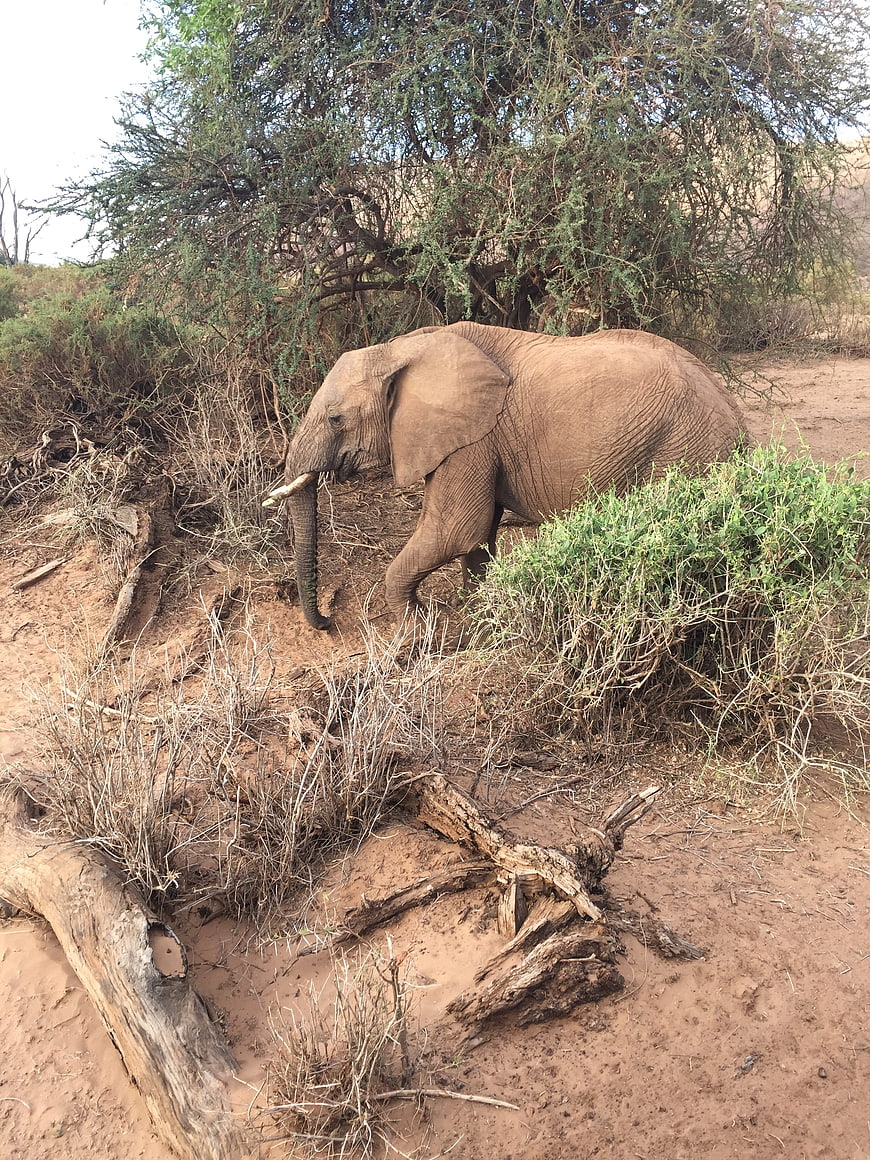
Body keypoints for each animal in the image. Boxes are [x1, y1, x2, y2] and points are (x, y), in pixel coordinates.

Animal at [279, 322, 747, 629]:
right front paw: (477, 618)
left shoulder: (471, 441)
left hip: (683, 450)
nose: (328, 620)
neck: (403, 348)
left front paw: (417, 630)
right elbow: (477, 539)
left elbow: (455, 530)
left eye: (336, 419)